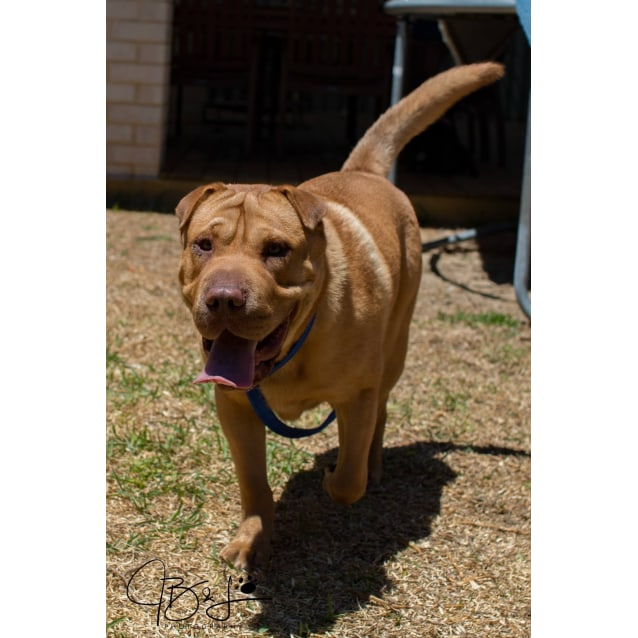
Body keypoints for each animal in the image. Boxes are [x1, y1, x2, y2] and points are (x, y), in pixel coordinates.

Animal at [175, 62, 504, 576]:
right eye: (204, 245)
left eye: (277, 249)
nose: (224, 299)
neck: (292, 352)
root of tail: (363, 171)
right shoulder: (234, 406)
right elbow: (253, 482)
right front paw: (252, 539)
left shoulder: (358, 392)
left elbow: (348, 480)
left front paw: (337, 478)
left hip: (395, 349)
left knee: (378, 418)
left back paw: (372, 462)